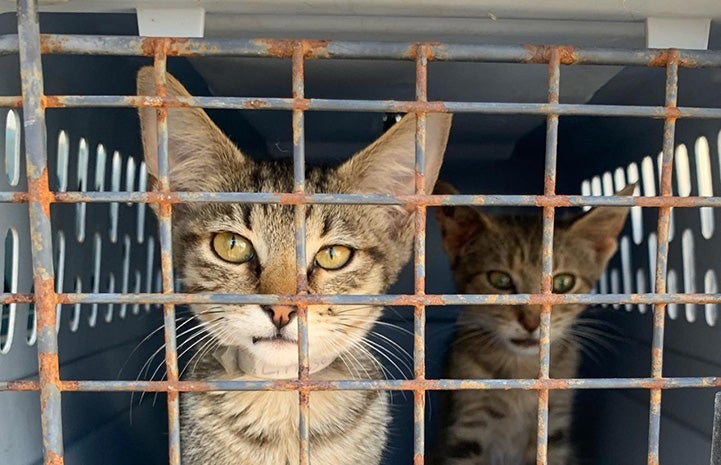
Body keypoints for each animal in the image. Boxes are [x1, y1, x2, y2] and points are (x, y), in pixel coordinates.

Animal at [434, 181, 632, 464]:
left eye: (562, 283)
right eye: (500, 280)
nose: (531, 322)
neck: (522, 371)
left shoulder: (554, 427)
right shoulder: (466, 431)